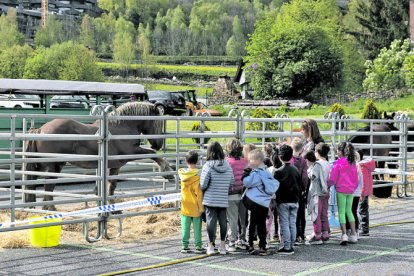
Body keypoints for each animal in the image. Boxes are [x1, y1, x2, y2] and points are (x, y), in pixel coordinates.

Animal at [24, 102, 173, 210]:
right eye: (158, 122)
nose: (158, 144)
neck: (122, 126)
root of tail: (40, 129)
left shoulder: (116, 165)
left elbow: (112, 186)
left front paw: (113, 210)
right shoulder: (131, 152)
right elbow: (153, 154)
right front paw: (168, 172)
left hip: (44, 165)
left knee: (35, 184)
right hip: (53, 166)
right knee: (48, 187)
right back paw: (51, 210)